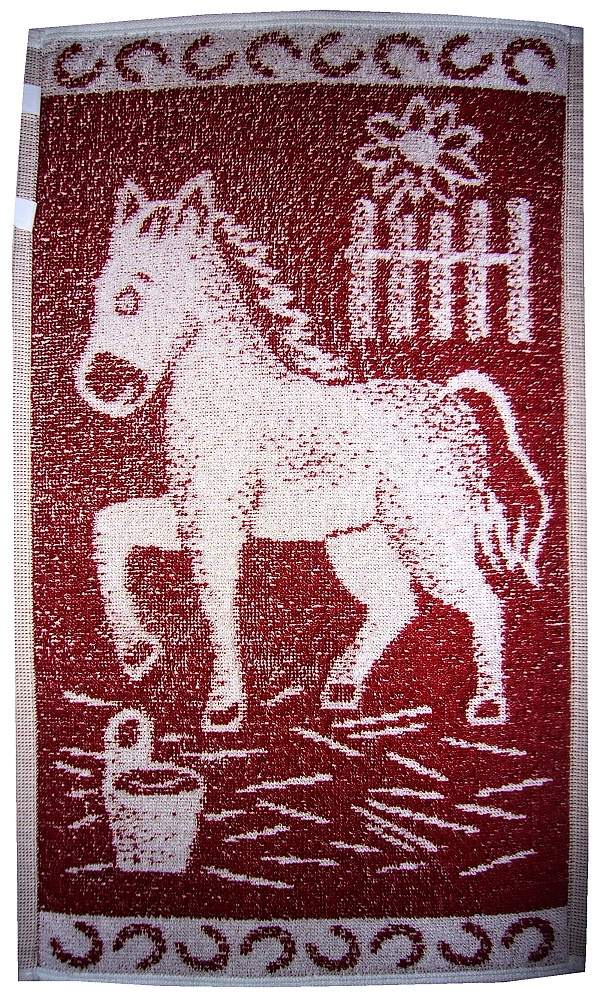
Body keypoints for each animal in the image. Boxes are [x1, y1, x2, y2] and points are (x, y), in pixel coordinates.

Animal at [75, 170, 550, 731]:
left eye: (135, 292)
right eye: (99, 290)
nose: (102, 385)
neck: (230, 399)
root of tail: (452, 402)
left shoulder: (219, 521)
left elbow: (216, 599)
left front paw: (223, 706)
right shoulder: (193, 513)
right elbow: (110, 528)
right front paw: (137, 651)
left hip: (427, 535)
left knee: (484, 602)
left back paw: (487, 706)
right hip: (358, 538)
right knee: (396, 603)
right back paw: (341, 689)